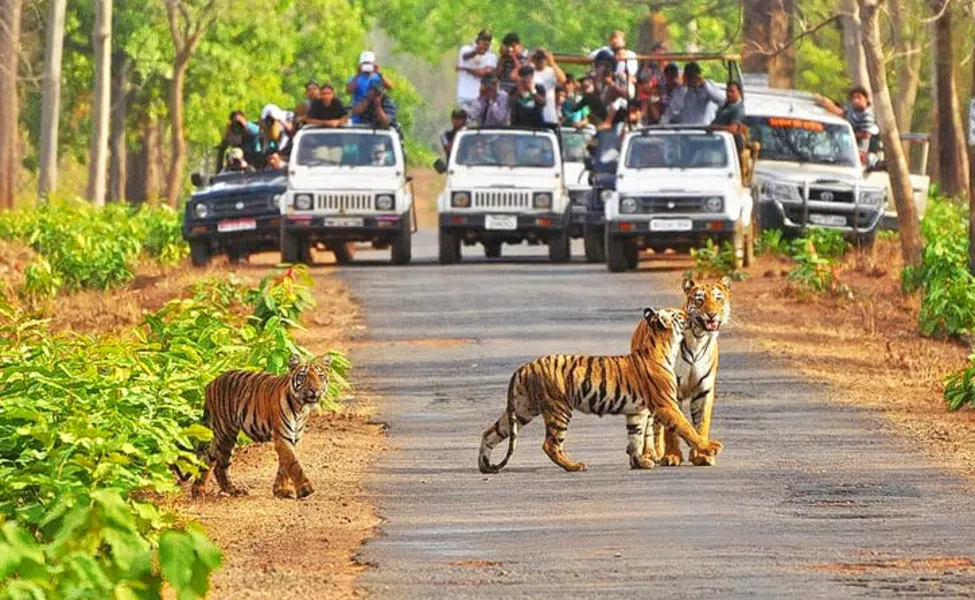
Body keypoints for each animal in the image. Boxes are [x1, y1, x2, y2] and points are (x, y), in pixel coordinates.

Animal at [189, 354, 334, 500]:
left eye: (320, 376)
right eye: (303, 376)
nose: (314, 390)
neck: (301, 408)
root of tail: (210, 383)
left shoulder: (293, 438)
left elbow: (284, 466)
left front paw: (280, 490)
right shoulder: (282, 437)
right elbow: (293, 463)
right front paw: (305, 489)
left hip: (220, 435)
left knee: (208, 459)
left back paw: (199, 490)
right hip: (226, 433)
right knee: (220, 466)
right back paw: (231, 490)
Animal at [480, 310, 724, 474]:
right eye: (680, 315)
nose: (692, 314)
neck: (664, 346)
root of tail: (524, 367)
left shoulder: (637, 411)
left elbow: (635, 437)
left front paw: (639, 462)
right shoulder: (666, 405)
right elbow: (686, 427)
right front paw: (710, 448)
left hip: (523, 409)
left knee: (490, 432)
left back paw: (484, 466)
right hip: (558, 408)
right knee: (550, 444)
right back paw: (574, 466)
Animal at [632, 276, 732, 468]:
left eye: (719, 299)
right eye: (700, 300)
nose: (712, 314)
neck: (698, 338)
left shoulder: (704, 390)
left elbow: (701, 424)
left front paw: (702, 455)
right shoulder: (672, 390)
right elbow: (673, 429)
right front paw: (672, 456)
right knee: (649, 425)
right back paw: (650, 454)